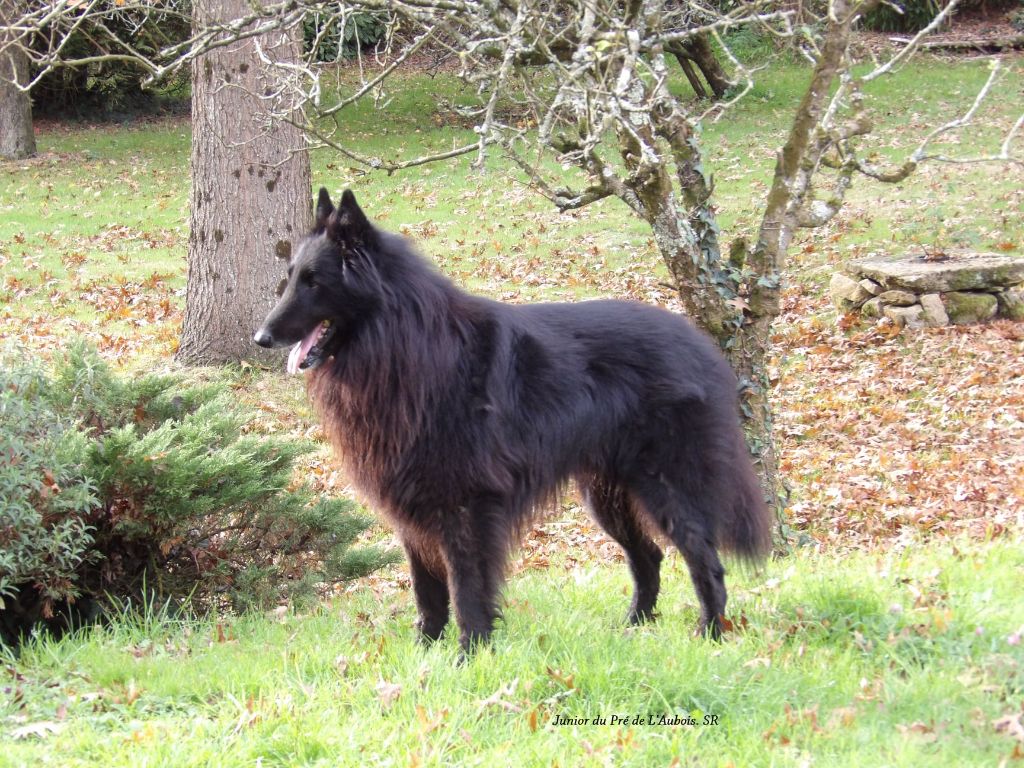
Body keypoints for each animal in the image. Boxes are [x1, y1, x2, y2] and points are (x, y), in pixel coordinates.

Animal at [253, 189, 770, 651]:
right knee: (649, 555)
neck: (404, 345)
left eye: (314, 282)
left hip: (666, 485)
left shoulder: (467, 505)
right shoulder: (411, 507)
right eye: (290, 278)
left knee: (705, 561)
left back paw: (710, 636)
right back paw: (633, 630)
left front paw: (469, 655)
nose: (261, 337)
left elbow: (467, 589)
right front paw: (424, 656)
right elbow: (427, 592)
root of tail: (699, 343)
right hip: (606, 496)